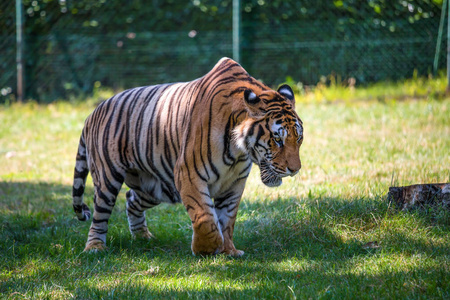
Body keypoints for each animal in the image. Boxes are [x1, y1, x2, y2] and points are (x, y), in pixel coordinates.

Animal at [72, 57, 304, 256]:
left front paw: (229, 250)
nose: (295, 169)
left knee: (131, 199)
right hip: (108, 179)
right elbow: (206, 219)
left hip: (155, 187)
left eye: (299, 138)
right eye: (278, 139)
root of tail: (92, 113)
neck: (239, 150)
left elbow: (227, 219)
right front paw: (206, 249)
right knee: (99, 215)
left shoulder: (234, 182)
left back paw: (143, 237)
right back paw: (94, 247)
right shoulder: (189, 173)